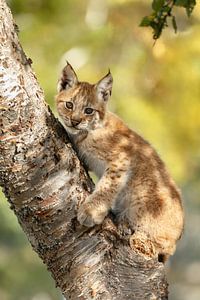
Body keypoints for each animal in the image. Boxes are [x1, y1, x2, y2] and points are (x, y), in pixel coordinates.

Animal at [55, 62, 184, 262]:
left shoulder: (122, 159)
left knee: (164, 248)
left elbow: (108, 186)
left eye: (88, 111)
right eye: (69, 105)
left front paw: (91, 212)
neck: (90, 131)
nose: (75, 121)